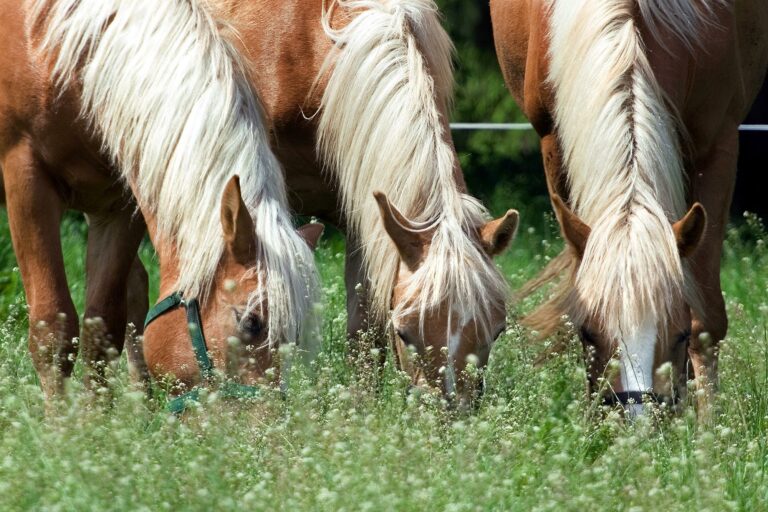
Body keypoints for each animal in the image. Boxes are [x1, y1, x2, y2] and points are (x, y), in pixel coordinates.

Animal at [0, 0, 320, 402]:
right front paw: (62, 420)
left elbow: (101, 327)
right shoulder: (26, 176)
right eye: (251, 322)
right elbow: (52, 329)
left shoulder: (118, 203)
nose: (270, 419)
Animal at [492, 0, 768, 416]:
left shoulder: (718, 144)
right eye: (589, 332)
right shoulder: (551, 140)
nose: (637, 419)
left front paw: (706, 427)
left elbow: (705, 319)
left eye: (677, 333)